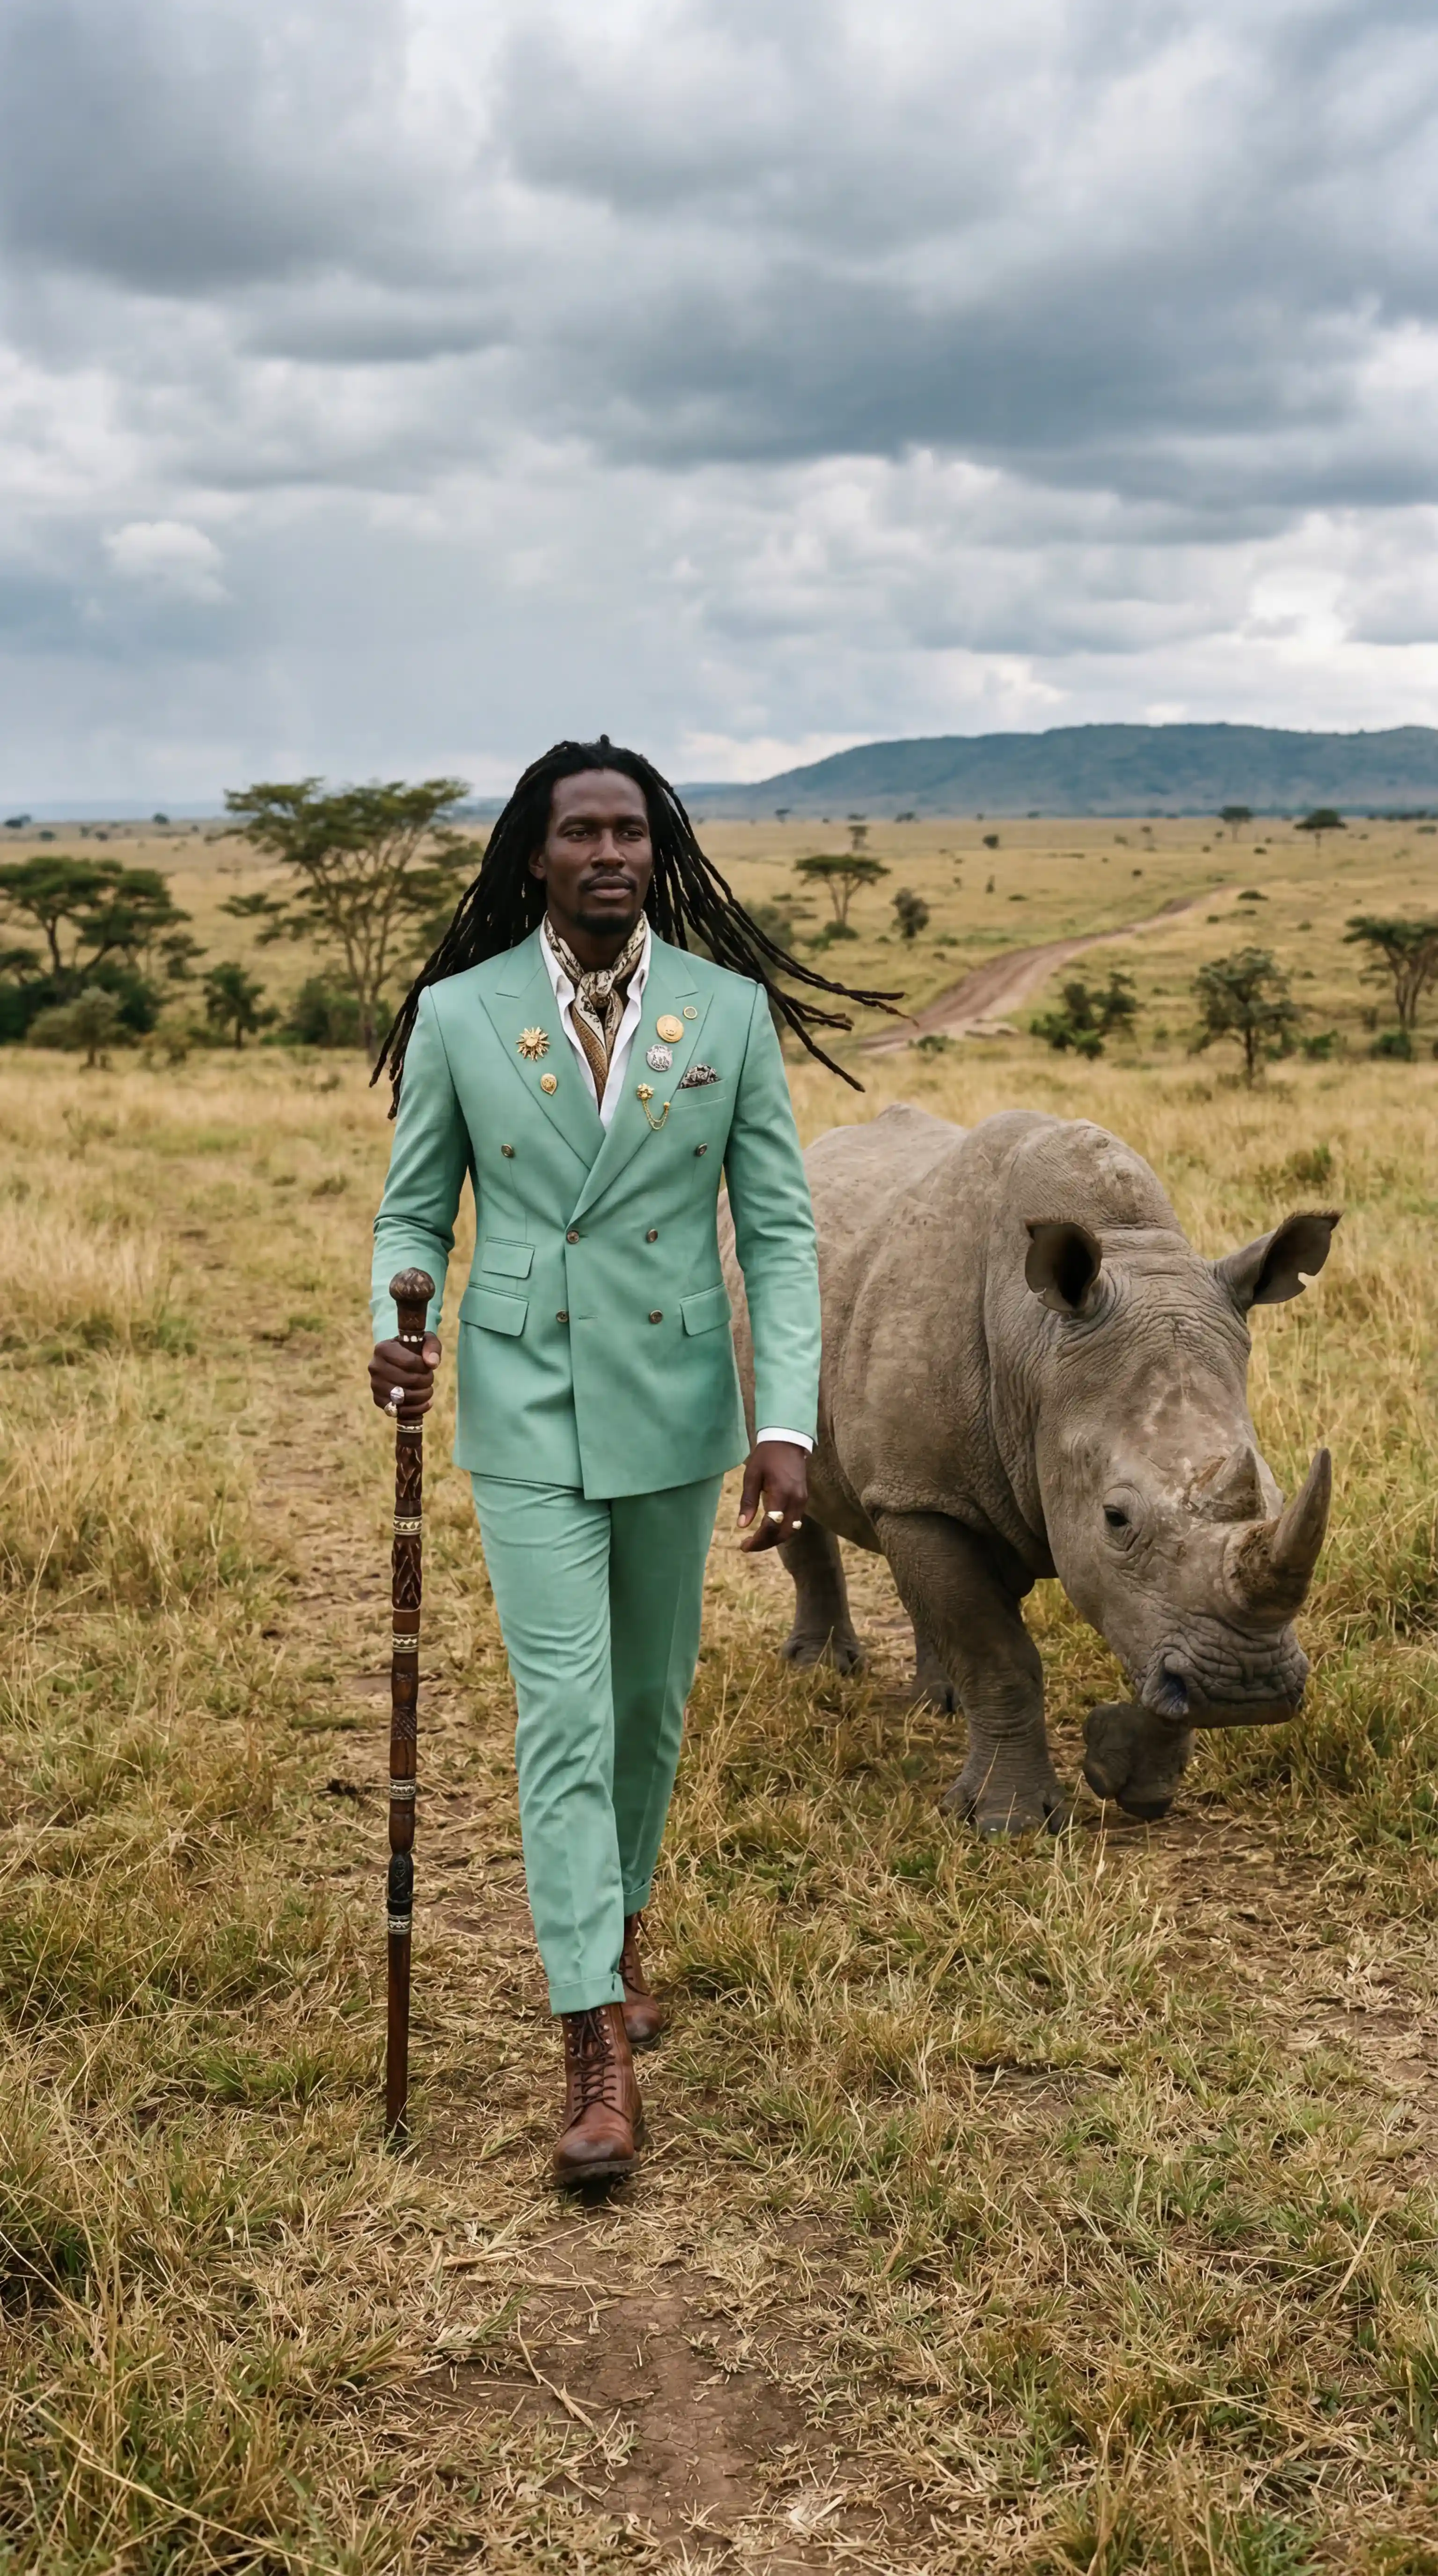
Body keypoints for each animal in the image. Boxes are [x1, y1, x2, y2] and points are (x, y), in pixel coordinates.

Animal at [720, 1105, 1338, 1834]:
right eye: (1116, 1518)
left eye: (1276, 1492)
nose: (1248, 1689)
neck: (1038, 1353)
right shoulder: (922, 1496)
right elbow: (997, 1653)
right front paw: (1007, 1823)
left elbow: (1146, 1631)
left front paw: (1130, 1780)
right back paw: (819, 1672)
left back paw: (938, 1704)